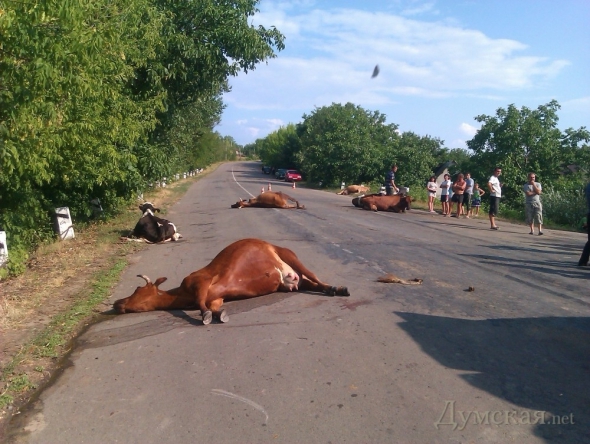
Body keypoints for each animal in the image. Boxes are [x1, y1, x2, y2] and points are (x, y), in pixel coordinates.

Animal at [113, 239, 350, 322]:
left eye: (136, 289)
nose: (116, 303)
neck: (181, 294)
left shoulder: (199, 280)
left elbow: (201, 303)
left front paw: (206, 315)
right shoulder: (216, 296)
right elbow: (212, 305)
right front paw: (218, 314)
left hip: (289, 255)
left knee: (315, 276)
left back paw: (337, 288)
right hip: (293, 283)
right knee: (311, 284)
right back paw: (331, 289)